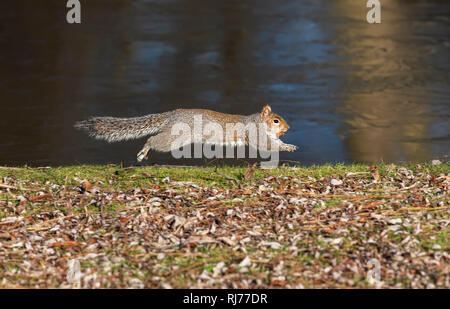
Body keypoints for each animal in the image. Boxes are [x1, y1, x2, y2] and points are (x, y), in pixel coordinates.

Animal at [75, 104, 298, 160]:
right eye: (276, 121)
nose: (288, 129)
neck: (256, 121)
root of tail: (173, 115)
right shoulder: (255, 133)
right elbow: (267, 144)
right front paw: (288, 147)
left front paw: (287, 143)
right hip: (174, 139)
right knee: (153, 139)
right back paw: (143, 152)